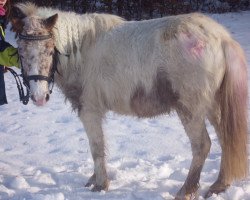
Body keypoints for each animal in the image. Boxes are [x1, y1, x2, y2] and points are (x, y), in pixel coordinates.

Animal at [10, 2, 248, 199]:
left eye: (50, 50)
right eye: (20, 51)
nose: (38, 97)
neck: (80, 50)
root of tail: (221, 38)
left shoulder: (90, 111)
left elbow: (96, 148)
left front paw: (101, 185)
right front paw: (93, 180)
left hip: (191, 110)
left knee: (202, 146)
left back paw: (186, 190)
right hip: (214, 107)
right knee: (225, 139)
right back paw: (219, 186)